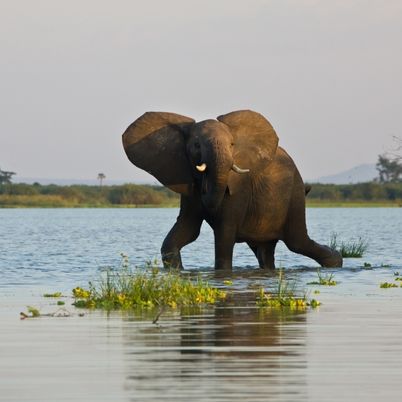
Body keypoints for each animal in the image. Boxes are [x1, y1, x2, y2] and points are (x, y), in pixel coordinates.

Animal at [122, 110, 342, 270]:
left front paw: (223, 273)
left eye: (232, 144)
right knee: (265, 251)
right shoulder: (189, 186)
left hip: (294, 193)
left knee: (297, 242)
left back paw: (336, 262)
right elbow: (187, 230)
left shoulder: (239, 187)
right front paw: (176, 271)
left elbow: (224, 232)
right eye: (196, 145)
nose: (206, 187)